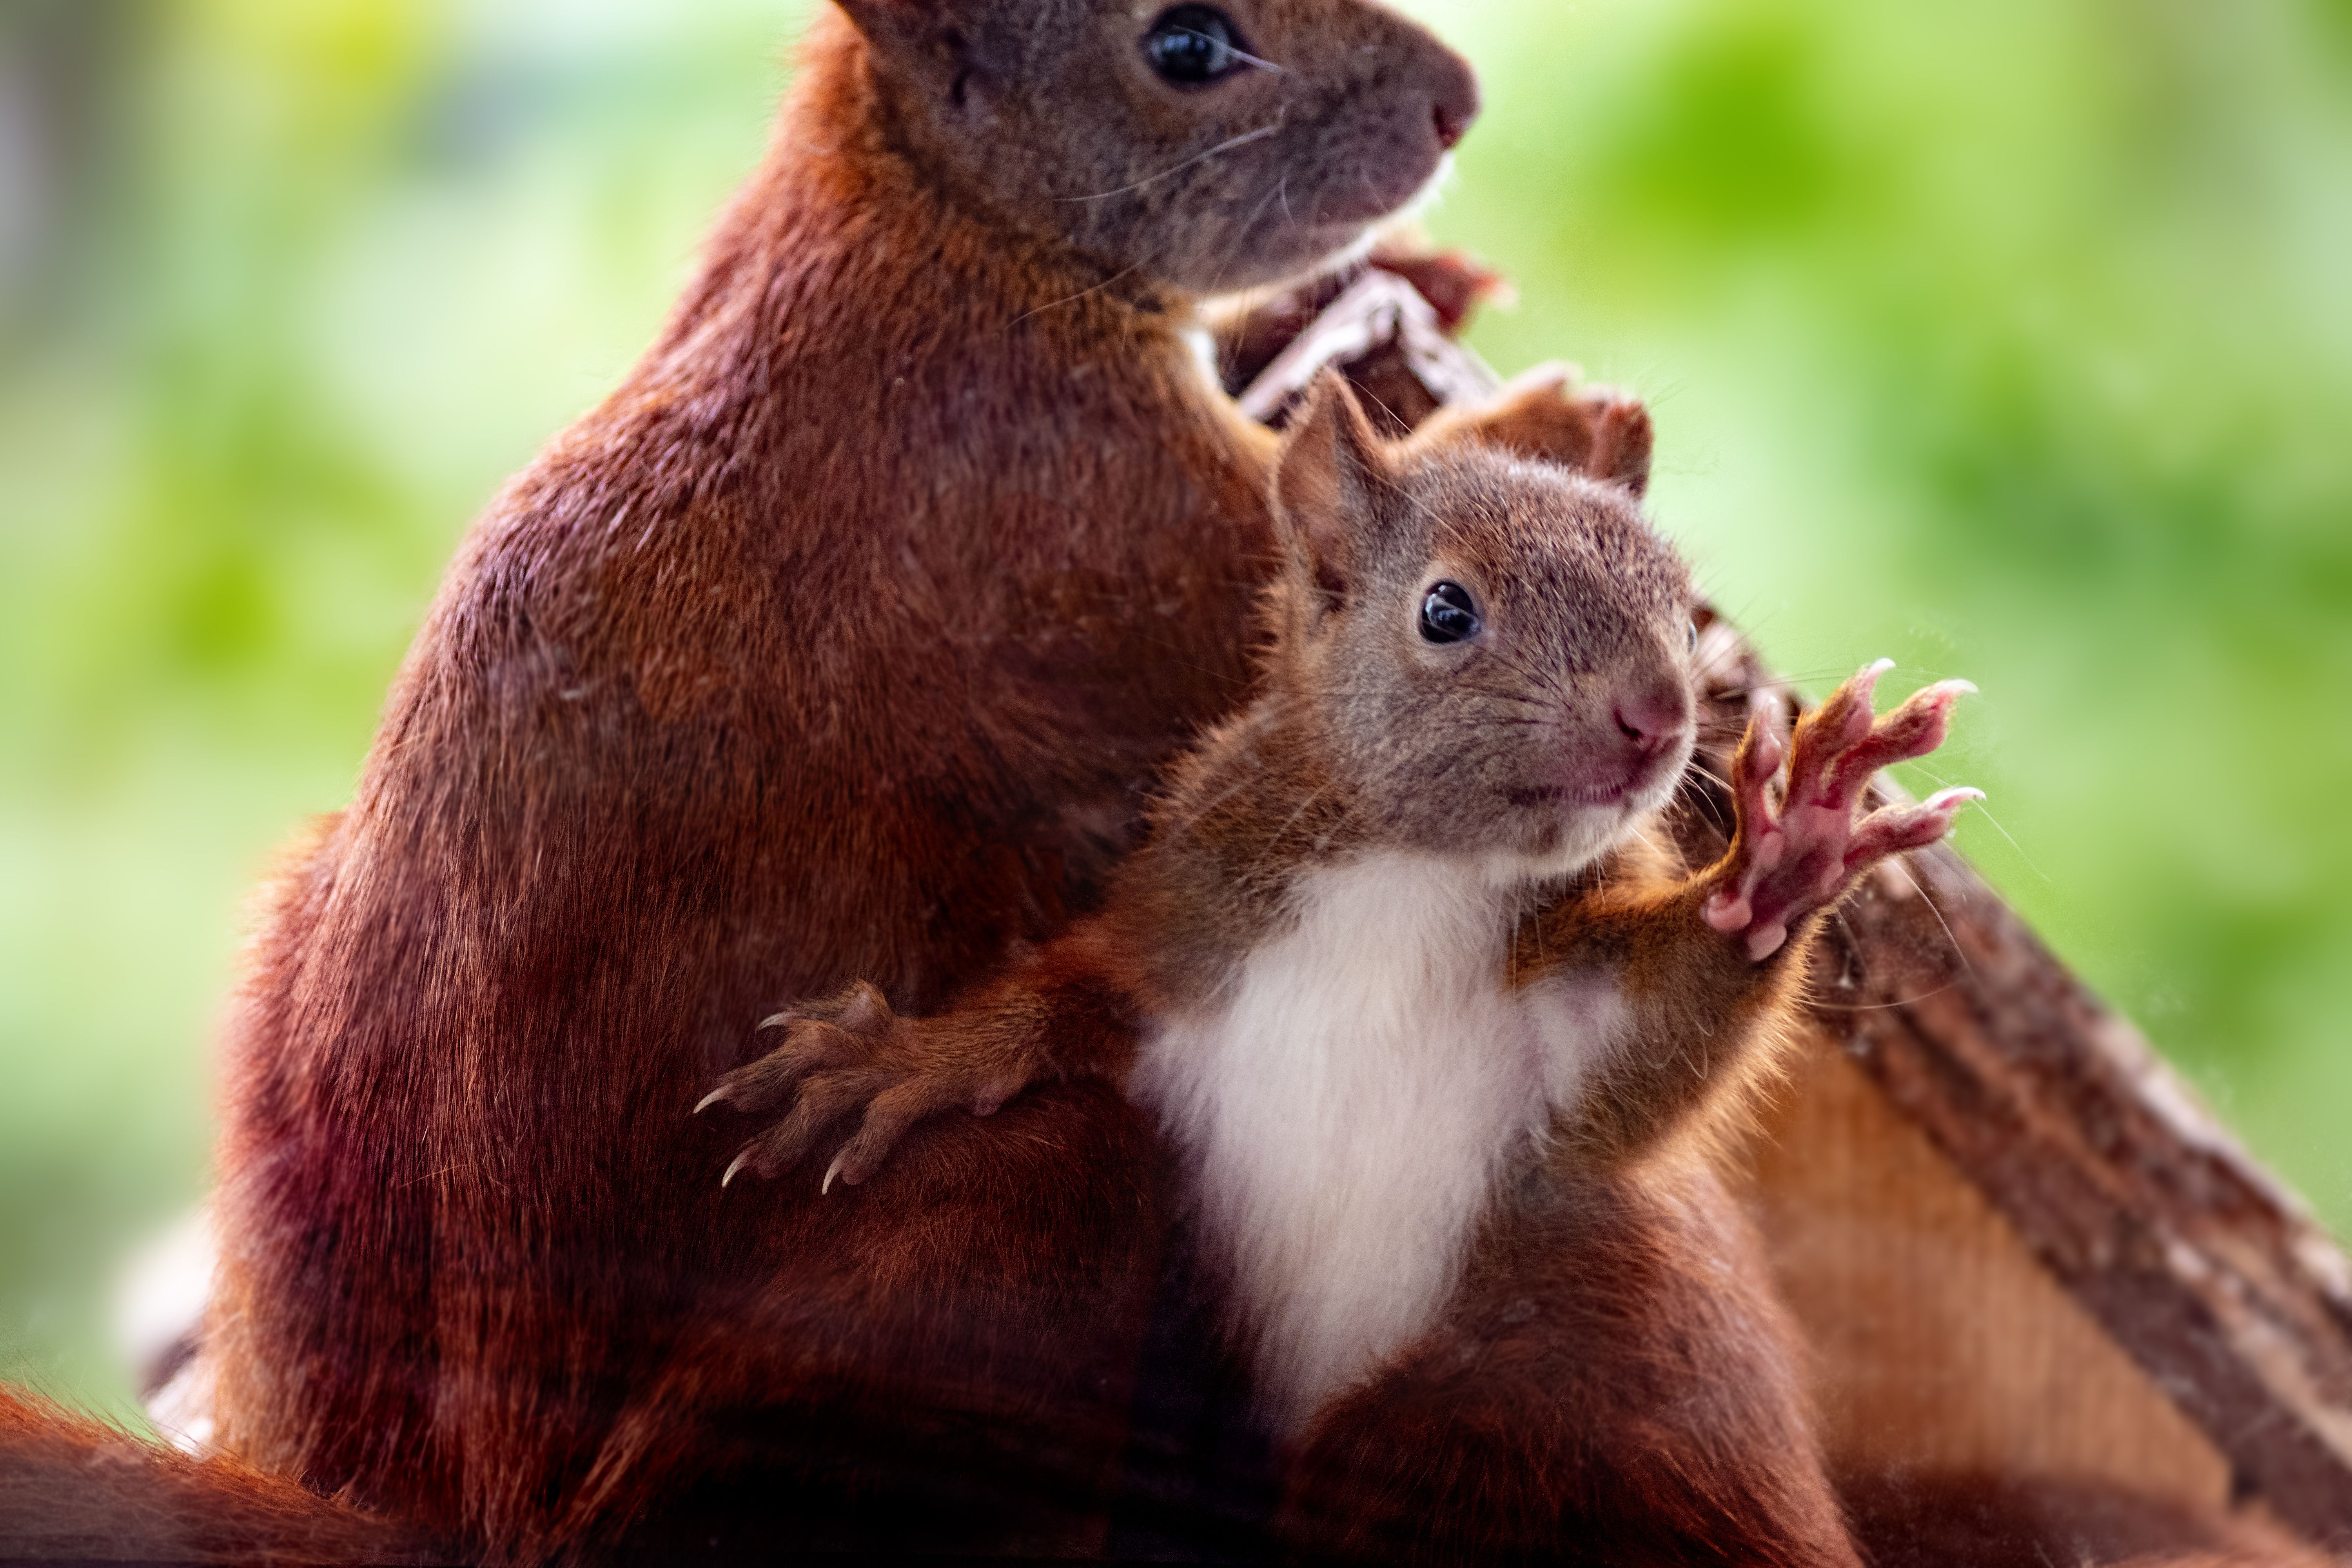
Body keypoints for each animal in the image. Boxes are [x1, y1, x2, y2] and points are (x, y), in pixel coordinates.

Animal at [45, 0, 1662, 1562]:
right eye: (1186, 45)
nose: (1456, 99)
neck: (917, 218)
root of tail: (448, 1507)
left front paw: (1405, 290)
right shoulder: (1090, 497)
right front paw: (1553, 427)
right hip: (1006, 1227)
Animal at [700, 376, 1983, 1564]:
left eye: (1680, 613)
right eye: (1446, 608)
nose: (1656, 717)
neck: (1413, 875)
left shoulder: (1560, 1051)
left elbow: (1653, 1048)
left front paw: (1791, 850)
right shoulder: (1183, 937)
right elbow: (1054, 998)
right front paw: (894, 1062)